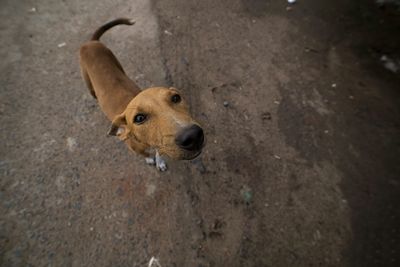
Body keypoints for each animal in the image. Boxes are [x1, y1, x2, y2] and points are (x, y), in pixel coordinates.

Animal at [79, 18, 203, 172]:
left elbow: (159, 152)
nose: (193, 136)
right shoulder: (136, 149)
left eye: (176, 98)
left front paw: (160, 161)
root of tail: (91, 42)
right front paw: (150, 159)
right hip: (87, 81)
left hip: (115, 61)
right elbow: (147, 155)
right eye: (139, 118)